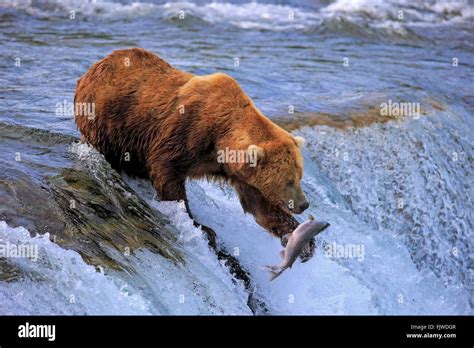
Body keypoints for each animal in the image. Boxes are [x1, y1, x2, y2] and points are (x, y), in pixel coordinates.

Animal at [75, 48, 314, 260]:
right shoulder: (186, 132)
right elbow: (166, 172)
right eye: (288, 181)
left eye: (299, 176)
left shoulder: (239, 174)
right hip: (106, 117)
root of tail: (91, 69)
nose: (304, 204)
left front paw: (303, 242)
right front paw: (199, 224)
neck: (220, 138)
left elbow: (259, 206)